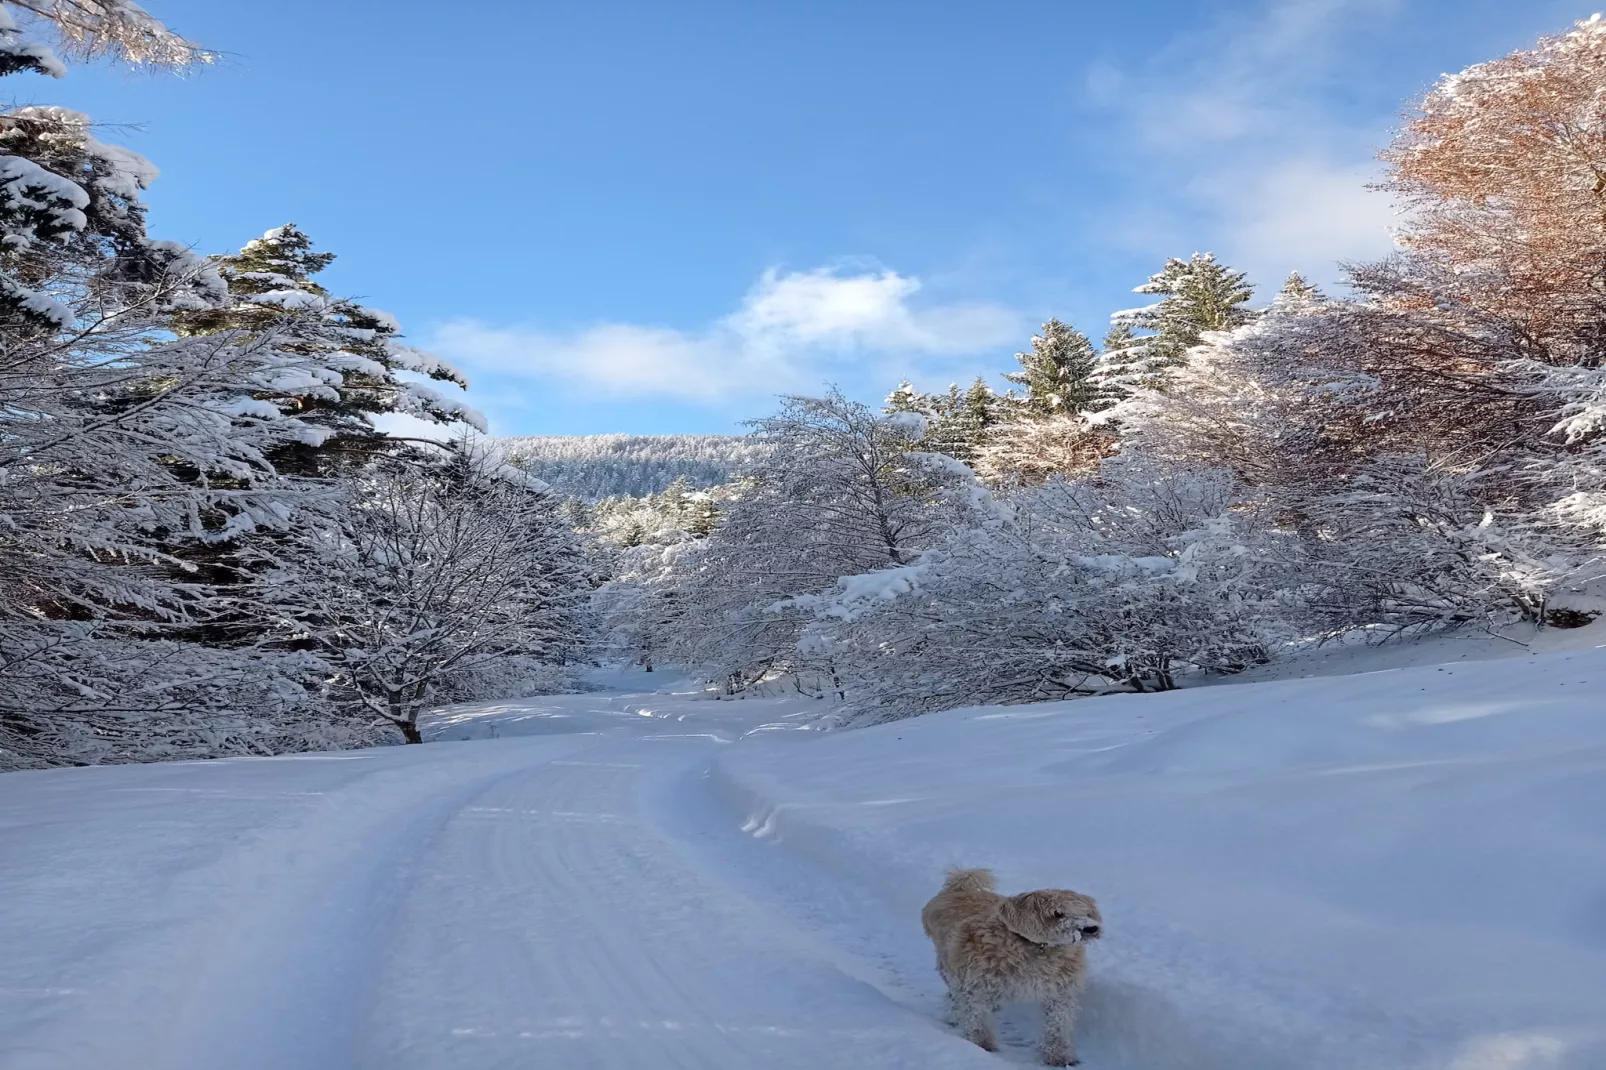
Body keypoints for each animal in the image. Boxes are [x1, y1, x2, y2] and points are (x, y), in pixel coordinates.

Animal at [925, 867, 1098, 1060]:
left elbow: (1057, 1024)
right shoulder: (976, 986)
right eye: (1058, 913)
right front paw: (982, 1046)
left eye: (1087, 913)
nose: (1091, 928)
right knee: (955, 997)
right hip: (950, 968)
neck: (1035, 948)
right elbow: (977, 1019)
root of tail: (961, 887)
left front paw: (1059, 1056)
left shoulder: (1060, 992)